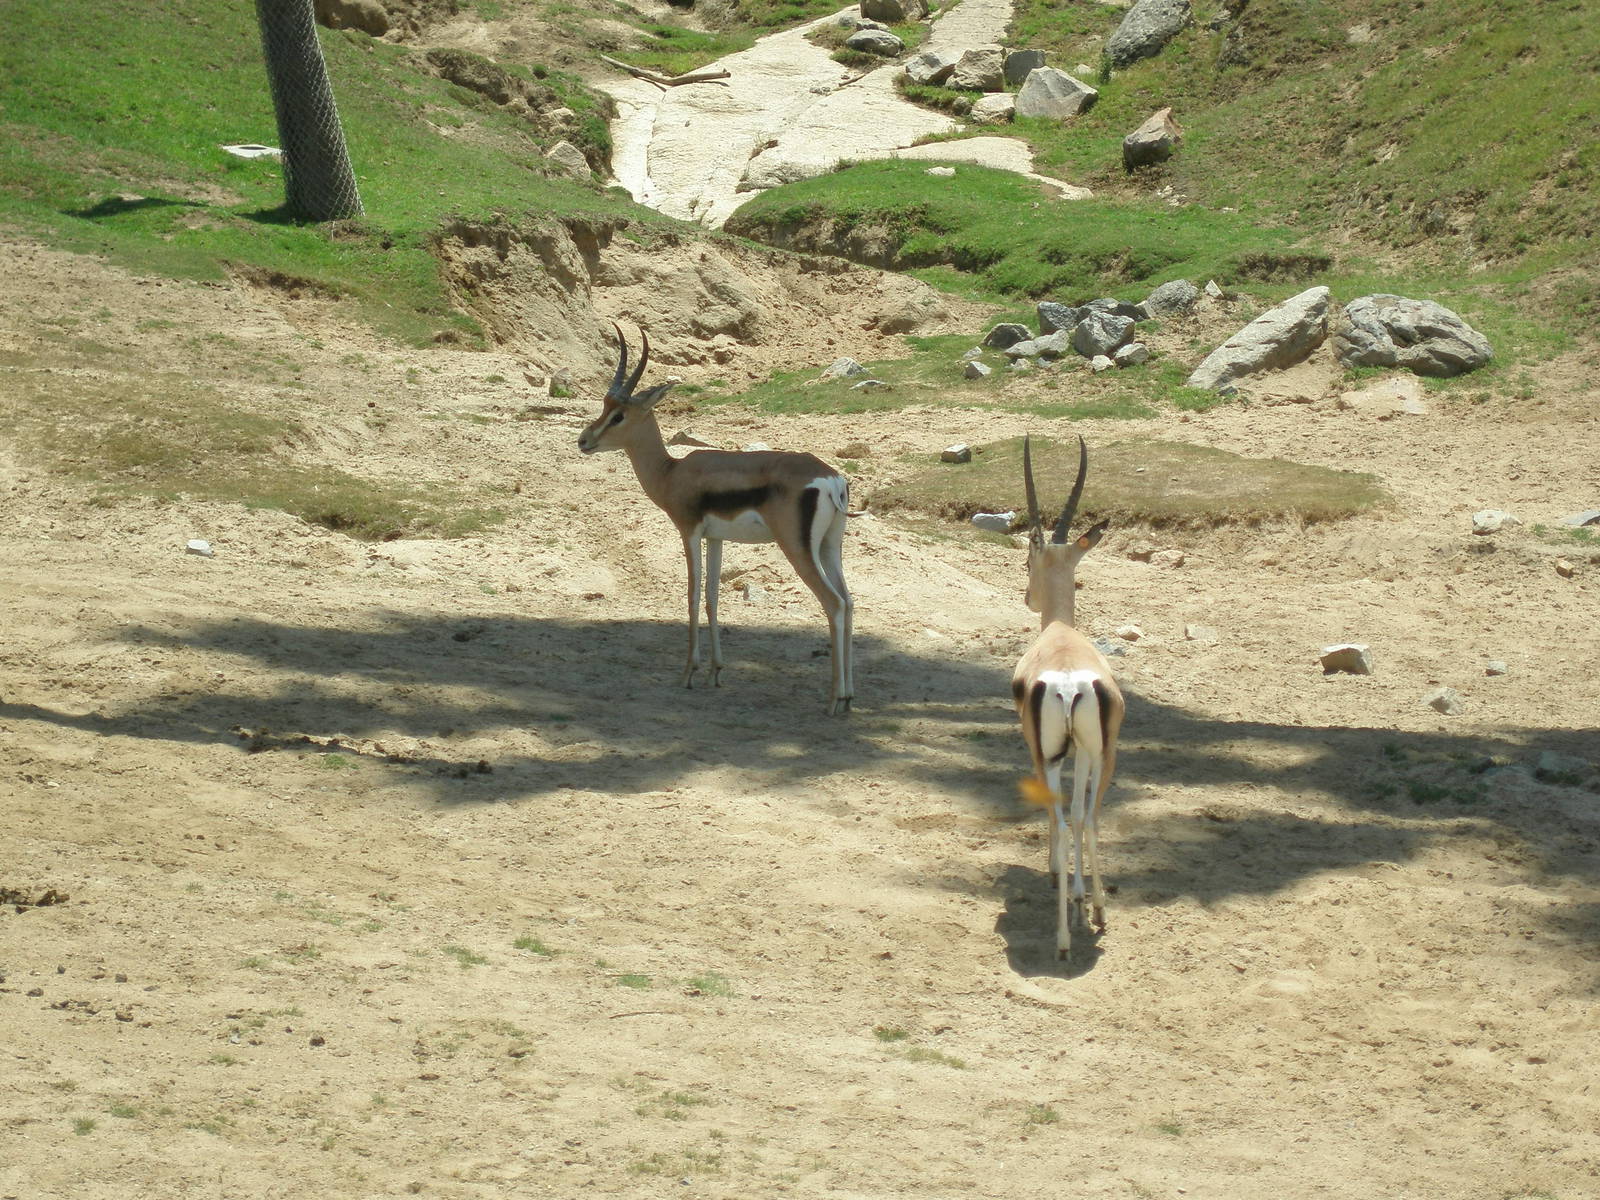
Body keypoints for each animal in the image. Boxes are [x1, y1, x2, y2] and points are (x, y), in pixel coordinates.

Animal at [577, 325, 855, 714]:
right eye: (605, 407)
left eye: (619, 415)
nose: (584, 441)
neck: (671, 472)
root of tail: (831, 479)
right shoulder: (716, 538)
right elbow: (712, 597)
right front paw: (715, 671)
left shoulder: (689, 531)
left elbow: (692, 595)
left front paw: (689, 673)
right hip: (830, 546)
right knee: (850, 601)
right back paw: (849, 697)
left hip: (797, 549)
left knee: (834, 603)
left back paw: (833, 700)